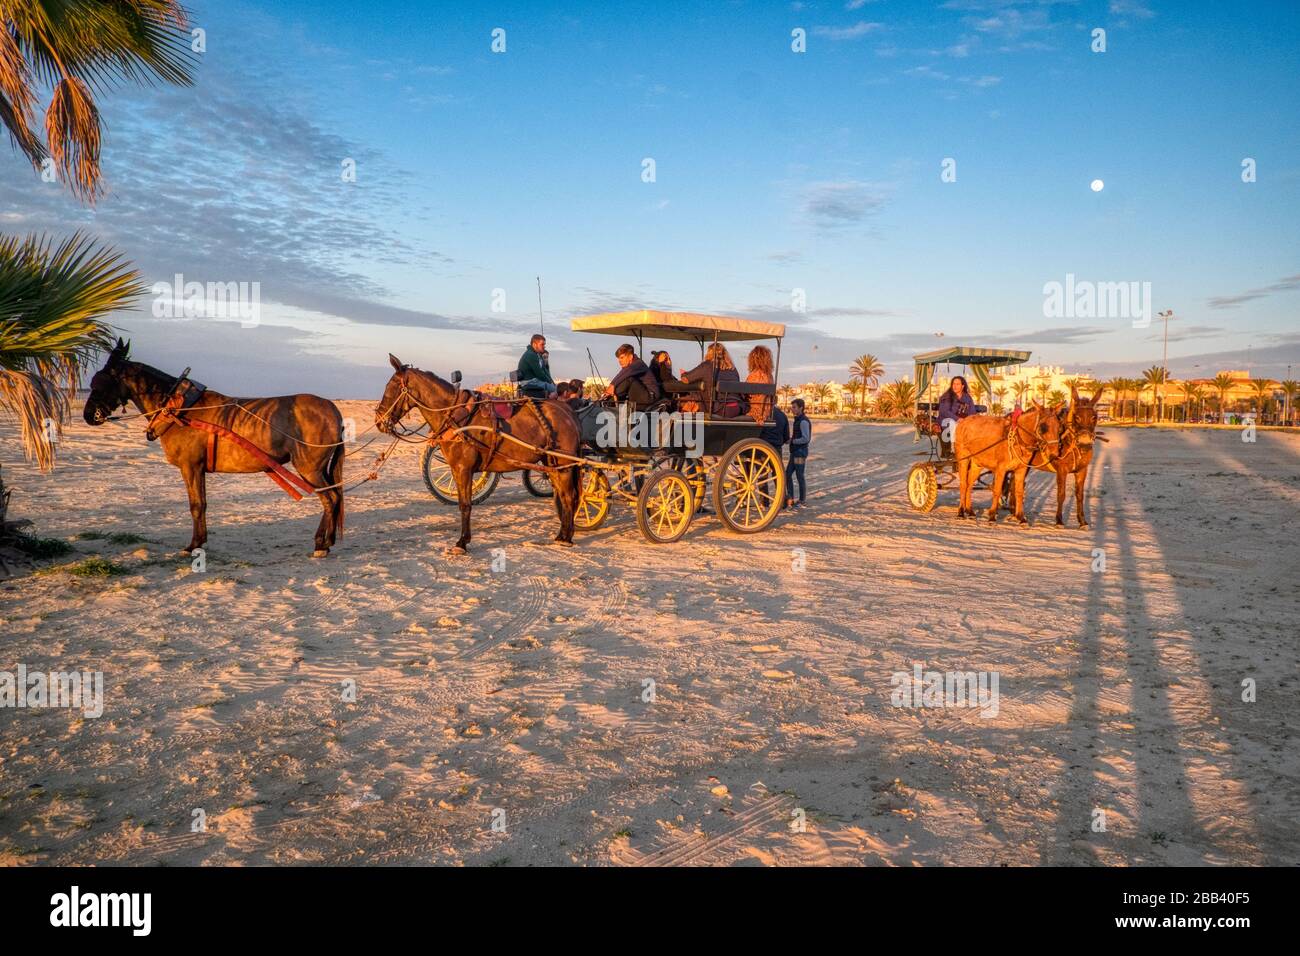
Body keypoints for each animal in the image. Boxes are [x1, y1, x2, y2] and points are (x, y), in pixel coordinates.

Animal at [83, 340, 348, 556]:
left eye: (99, 382)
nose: (88, 415)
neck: (179, 409)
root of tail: (333, 410)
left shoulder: (190, 467)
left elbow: (196, 505)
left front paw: (194, 545)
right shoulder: (197, 469)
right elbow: (202, 503)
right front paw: (199, 541)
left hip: (309, 468)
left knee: (330, 498)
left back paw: (322, 545)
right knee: (334, 497)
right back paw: (325, 540)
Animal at [377, 353, 579, 554]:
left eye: (391, 386)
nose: (379, 421)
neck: (455, 415)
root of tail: (567, 411)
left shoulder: (463, 469)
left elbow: (465, 504)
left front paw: (462, 542)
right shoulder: (456, 469)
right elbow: (463, 502)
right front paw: (464, 539)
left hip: (563, 465)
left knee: (569, 496)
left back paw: (567, 537)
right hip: (553, 464)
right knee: (563, 496)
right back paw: (562, 534)